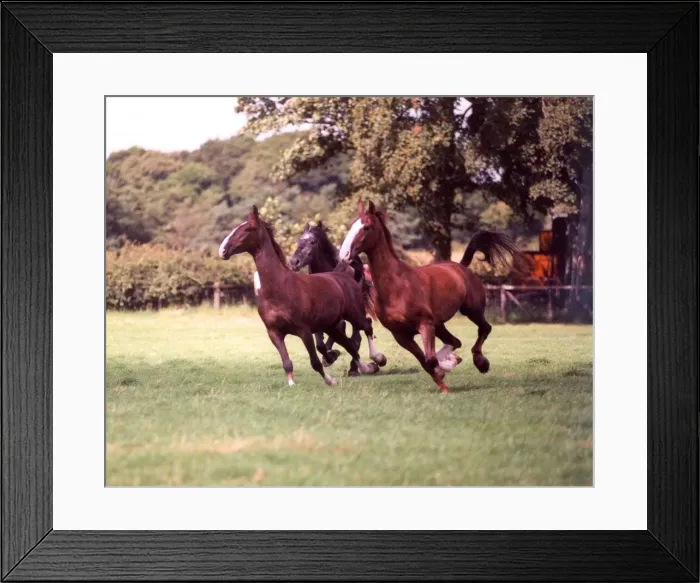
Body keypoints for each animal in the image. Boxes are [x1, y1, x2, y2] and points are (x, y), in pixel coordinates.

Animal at [288, 221, 383, 373]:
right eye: (299, 241)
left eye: (312, 242)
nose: (293, 262)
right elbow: (320, 344)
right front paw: (330, 356)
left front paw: (331, 356)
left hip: (355, 311)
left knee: (359, 332)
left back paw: (356, 367)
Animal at [339, 200, 520, 393]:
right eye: (351, 226)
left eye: (366, 227)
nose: (344, 255)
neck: (396, 287)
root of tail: (460, 267)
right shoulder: (401, 335)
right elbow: (425, 362)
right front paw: (444, 381)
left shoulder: (425, 324)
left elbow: (430, 358)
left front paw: (445, 370)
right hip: (439, 324)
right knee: (455, 341)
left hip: (471, 310)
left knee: (484, 329)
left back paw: (481, 363)